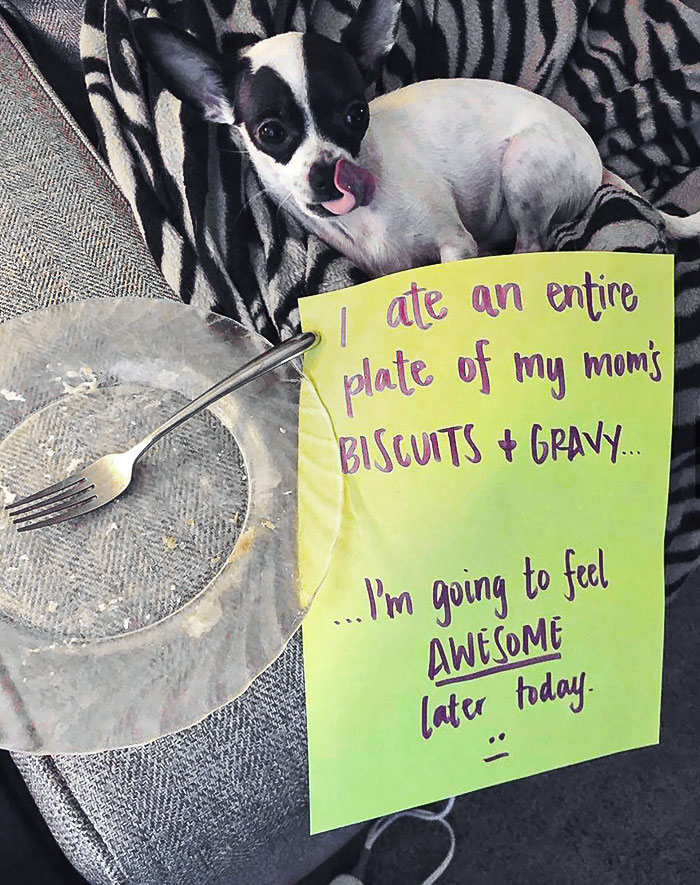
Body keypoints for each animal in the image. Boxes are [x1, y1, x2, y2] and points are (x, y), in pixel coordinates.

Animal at [134, 0, 696, 276]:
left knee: (531, 244)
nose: (329, 172)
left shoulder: (455, 244)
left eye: (355, 114)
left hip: (523, 164)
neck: (365, 219)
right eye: (270, 133)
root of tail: (596, 158)